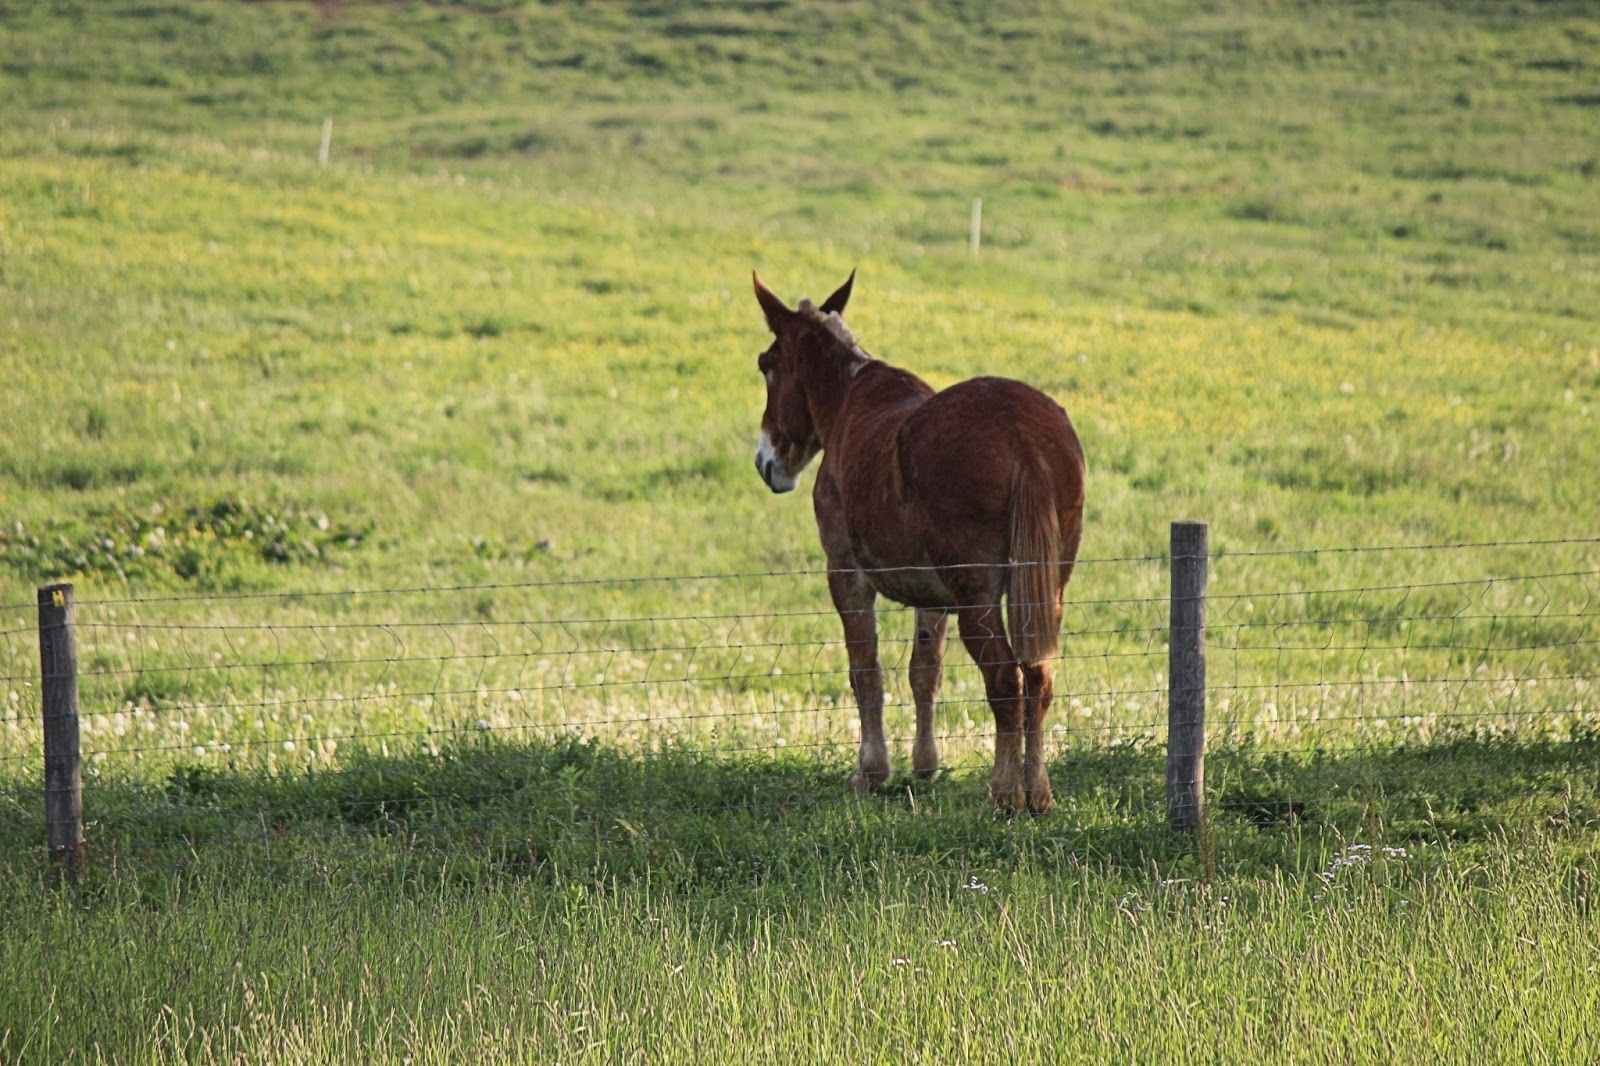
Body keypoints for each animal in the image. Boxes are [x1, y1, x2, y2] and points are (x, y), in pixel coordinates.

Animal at [751, 272, 1087, 813]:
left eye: (767, 365)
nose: (767, 463)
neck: (851, 401)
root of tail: (1020, 432)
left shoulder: (845, 574)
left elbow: (865, 671)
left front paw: (871, 771)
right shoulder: (933, 597)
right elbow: (924, 671)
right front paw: (925, 765)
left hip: (978, 597)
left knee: (1005, 680)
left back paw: (1004, 794)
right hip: (1046, 588)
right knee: (1038, 677)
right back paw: (1037, 793)